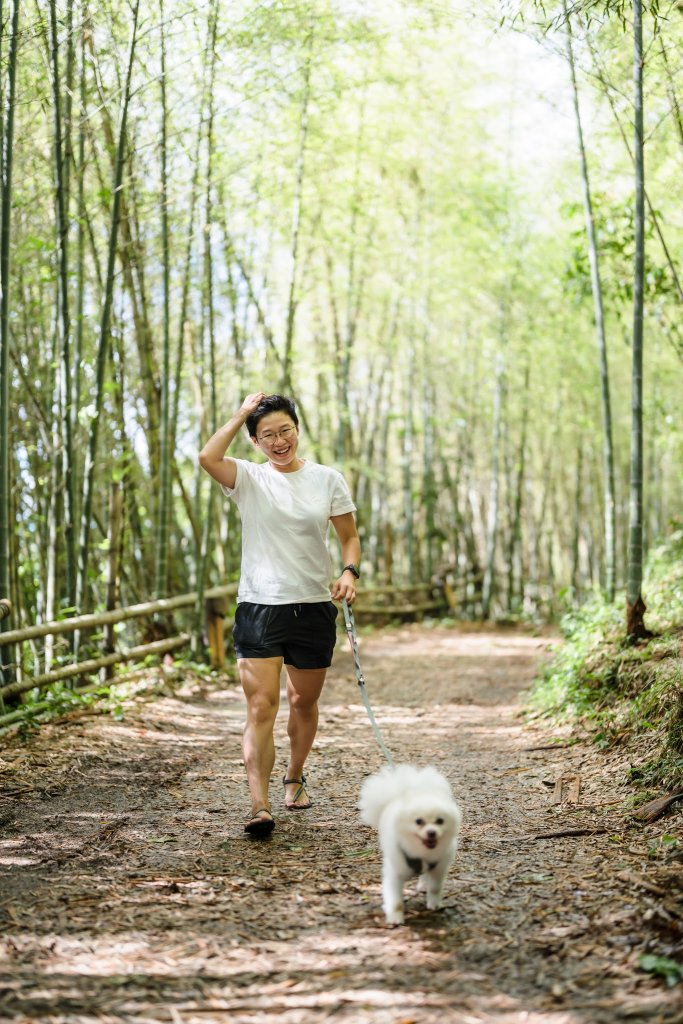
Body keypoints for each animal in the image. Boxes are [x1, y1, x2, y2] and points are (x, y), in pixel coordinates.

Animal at [358, 765, 464, 925]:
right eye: (418, 821)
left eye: (440, 821)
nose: (431, 832)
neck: (422, 852)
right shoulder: (395, 874)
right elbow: (396, 901)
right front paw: (395, 918)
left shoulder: (438, 868)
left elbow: (435, 889)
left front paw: (434, 904)